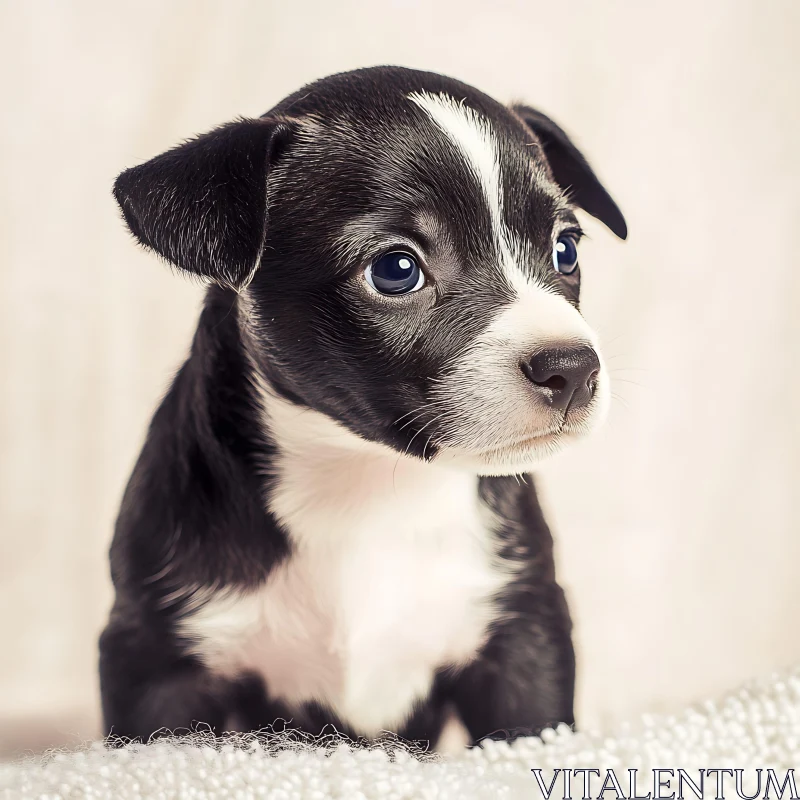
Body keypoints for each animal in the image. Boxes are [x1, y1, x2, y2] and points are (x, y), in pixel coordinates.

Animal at [98, 65, 624, 752]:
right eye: (396, 270)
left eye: (566, 251)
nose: (573, 367)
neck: (367, 486)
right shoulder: (160, 667)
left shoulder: (522, 641)